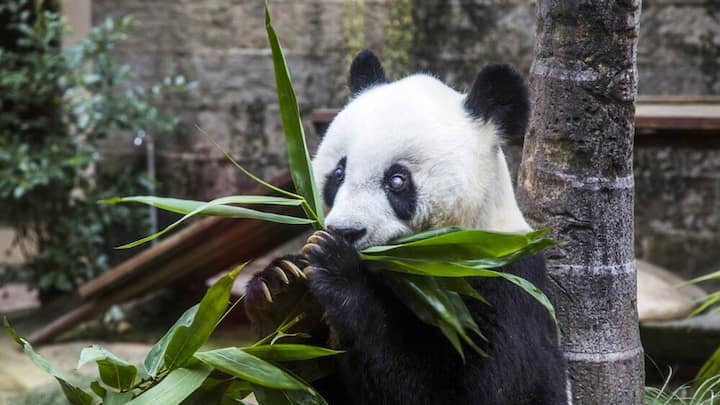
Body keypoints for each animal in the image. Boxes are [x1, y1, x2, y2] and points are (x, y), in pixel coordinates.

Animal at [244, 50, 569, 405]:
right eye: (339, 173)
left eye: (397, 180)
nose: (346, 231)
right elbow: (295, 378)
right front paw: (281, 289)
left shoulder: (504, 284)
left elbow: (479, 390)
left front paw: (336, 266)